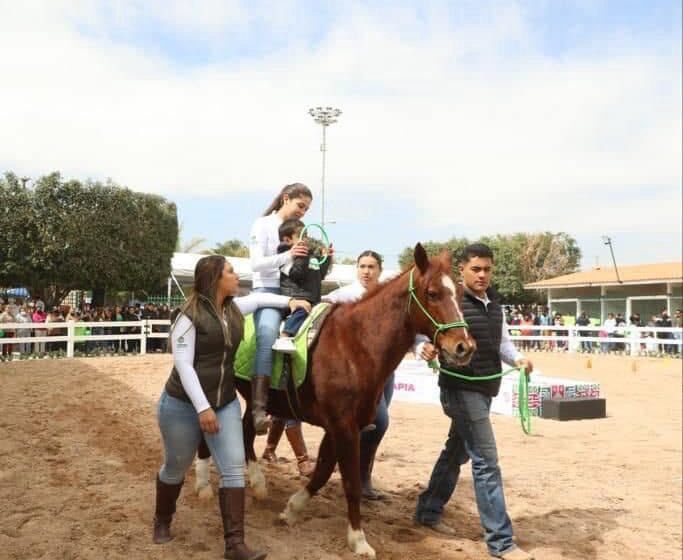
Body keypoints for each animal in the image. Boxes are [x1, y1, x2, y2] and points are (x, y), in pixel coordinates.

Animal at [235, 243, 476, 556]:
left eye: (458, 293)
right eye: (433, 293)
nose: (464, 347)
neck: (354, 345)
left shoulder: (340, 427)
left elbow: (323, 471)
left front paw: (292, 510)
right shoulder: (344, 428)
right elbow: (350, 483)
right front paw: (359, 540)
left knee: (245, 429)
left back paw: (256, 484)